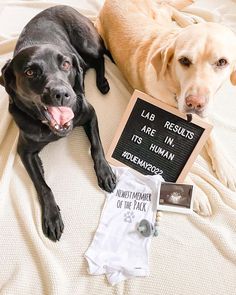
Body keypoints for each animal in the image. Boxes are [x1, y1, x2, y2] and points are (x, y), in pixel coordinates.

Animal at [0, 5, 116, 243]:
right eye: (30, 72)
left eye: (65, 64)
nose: (62, 94)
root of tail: (66, 6)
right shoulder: (24, 151)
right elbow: (42, 185)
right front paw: (52, 215)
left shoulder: (89, 114)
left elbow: (96, 147)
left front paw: (105, 172)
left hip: (87, 44)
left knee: (99, 58)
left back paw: (102, 82)